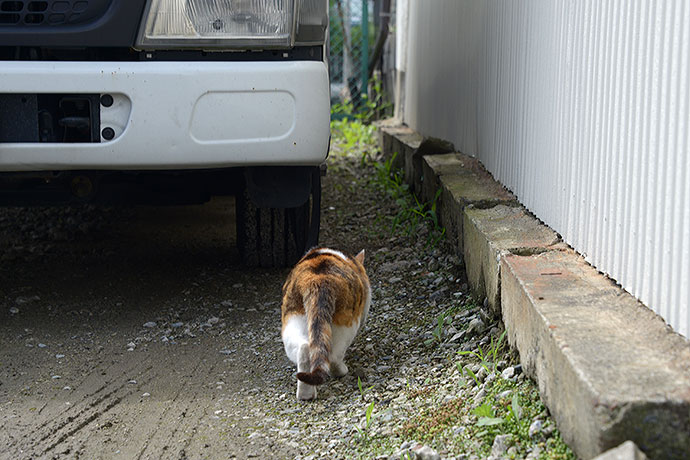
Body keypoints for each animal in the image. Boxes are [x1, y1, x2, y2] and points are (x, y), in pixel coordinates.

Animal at [278, 246, 368, 400]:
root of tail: (316, 280)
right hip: (345, 326)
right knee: (333, 357)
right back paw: (340, 371)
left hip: (292, 321)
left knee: (304, 348)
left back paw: (305, 394)